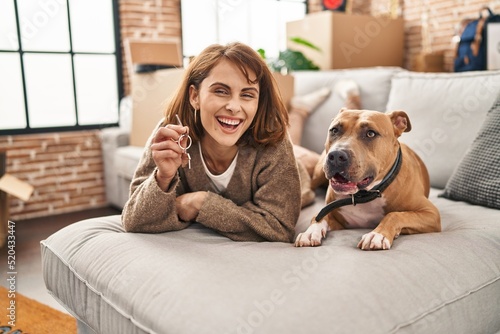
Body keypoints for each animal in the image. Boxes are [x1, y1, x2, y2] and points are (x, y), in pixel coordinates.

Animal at [294, 108, 440, 249]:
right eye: (334, 130)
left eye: (371, 133)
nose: (336, 156)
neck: (366, 194)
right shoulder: (337, 219)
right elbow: (318, 217)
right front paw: (310, 232)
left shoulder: (431, 213)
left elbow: (395, 215)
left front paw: (377, 234)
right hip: (318, 173)